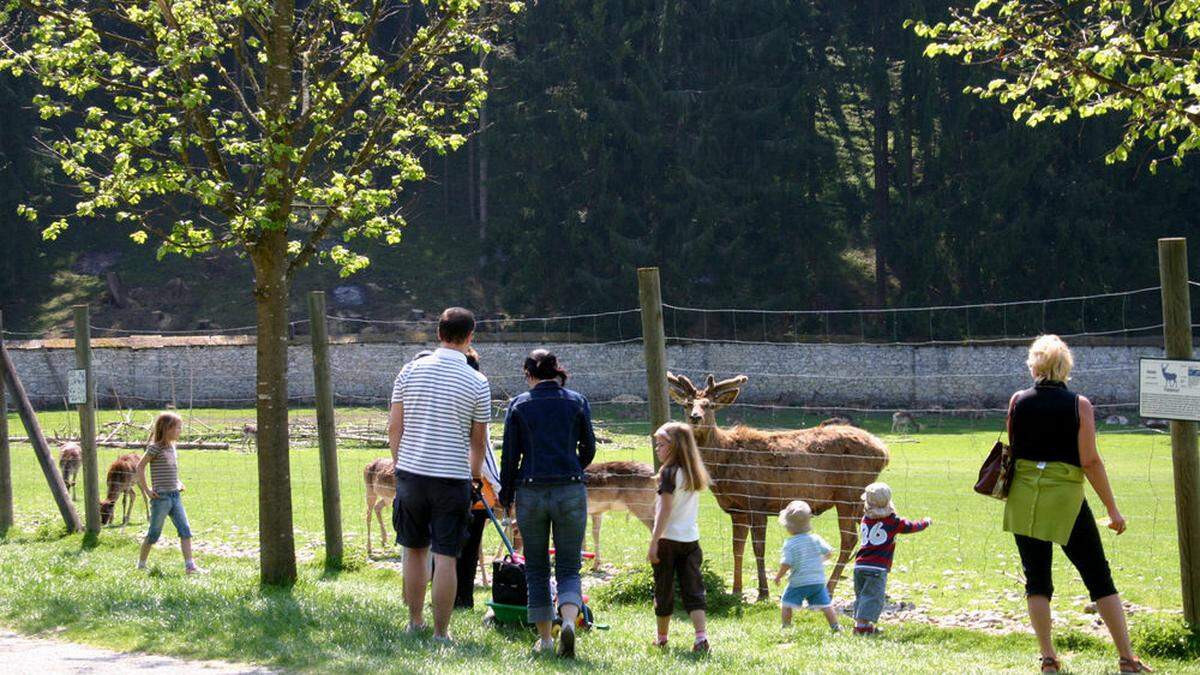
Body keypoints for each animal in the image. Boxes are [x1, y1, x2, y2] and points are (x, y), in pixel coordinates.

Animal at [667, 372, 892, 598]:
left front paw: (763, 592)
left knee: (850, 538)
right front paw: (736, 590)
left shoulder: (756, 501)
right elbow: (736, 548)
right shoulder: (736, 509)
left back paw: (830, 587)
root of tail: (884, 452)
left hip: (849, 493)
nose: (695, 417)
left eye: (710, 405)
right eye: (687, 404)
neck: (724, 463)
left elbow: (758, 548)